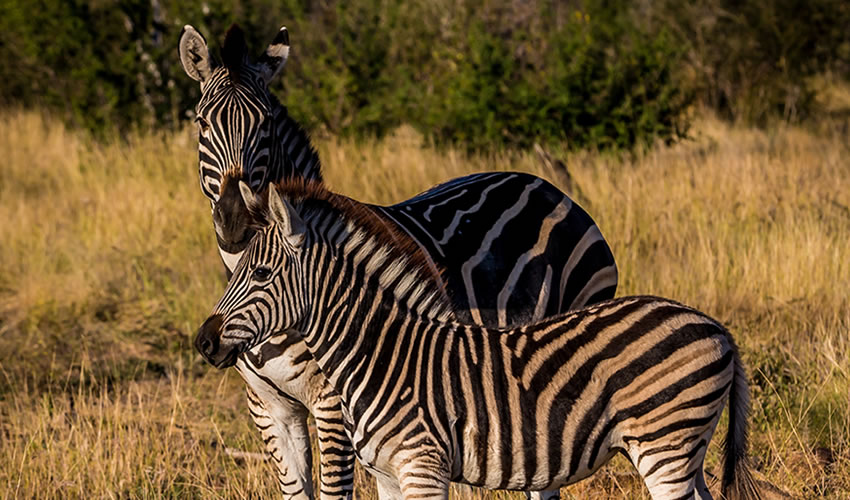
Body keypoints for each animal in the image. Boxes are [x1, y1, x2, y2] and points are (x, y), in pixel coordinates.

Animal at [179, 24, 616, 500]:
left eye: (266, 124)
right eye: (202, 122)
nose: (235, 219)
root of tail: (547, 186)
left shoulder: (335, 406)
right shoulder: (268, 407)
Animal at [194, 181, 760, 500]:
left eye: (260, 273)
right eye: (235, 268)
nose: (203, 342)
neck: (381, 355)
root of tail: (717, 328)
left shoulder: (422, 468)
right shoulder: (388, 475)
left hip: (666, 450)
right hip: (688, 454)